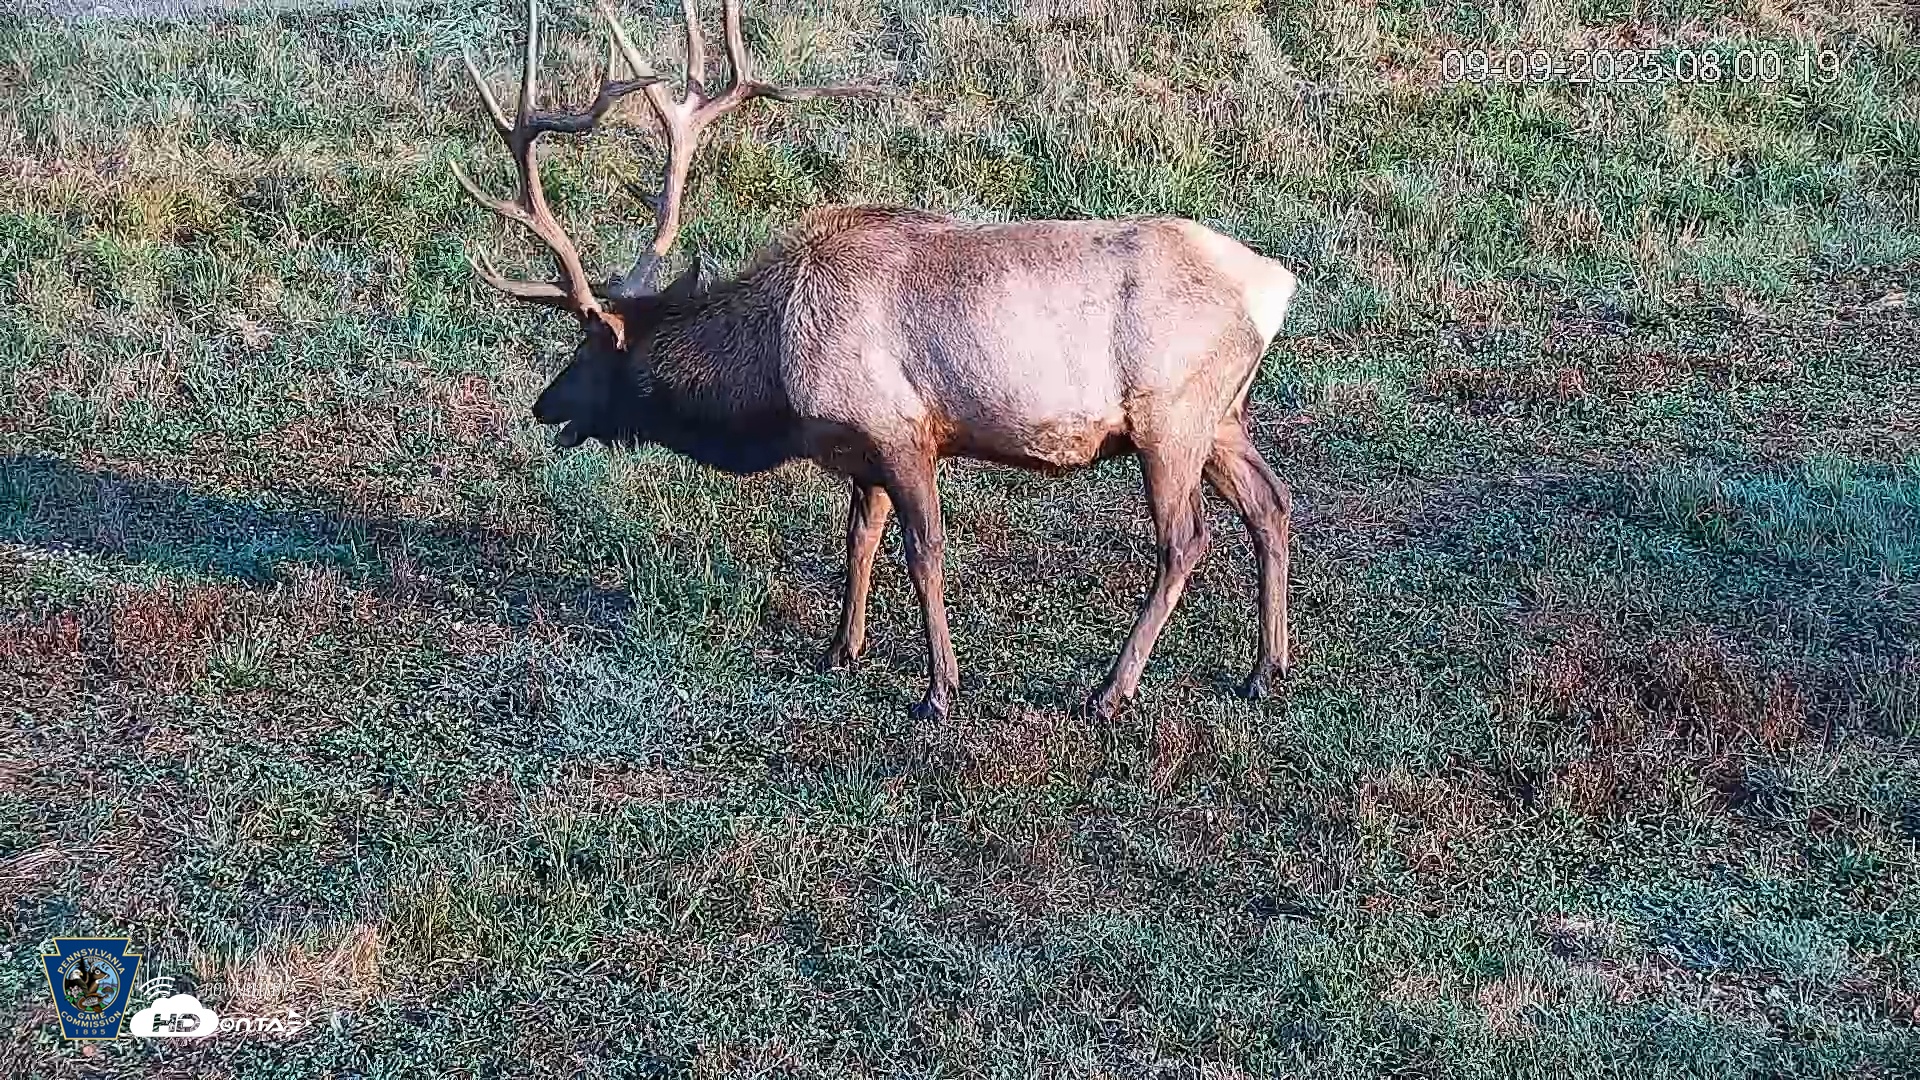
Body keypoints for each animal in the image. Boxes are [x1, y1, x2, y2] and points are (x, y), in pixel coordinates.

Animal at [453, 0, 1300, 724]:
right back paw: (1266, 669)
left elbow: (924, 553)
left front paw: (938, 690)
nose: (543, 403)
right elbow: (858, 539)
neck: (779, 377)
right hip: (1223, 416)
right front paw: (841, 649)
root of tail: (1274, 285)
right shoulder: (861, 449)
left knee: (1186, 539)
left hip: (1170, 419)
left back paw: (1109, 691)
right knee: (1272, 501)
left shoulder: (903, 430)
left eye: (593, 346)